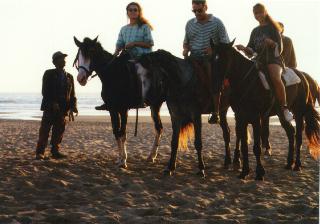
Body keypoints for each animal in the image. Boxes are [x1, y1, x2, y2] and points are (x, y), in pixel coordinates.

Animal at [74, 36, 164, 167]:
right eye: (79, 55)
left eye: (91, 52)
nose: (81, 78)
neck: (114, 75)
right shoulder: (112, 109)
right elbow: (117, 132)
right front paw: (120, 158)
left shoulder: (123, 109)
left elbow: (122, 133)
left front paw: (124, 160)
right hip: (154, 105)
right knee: (159, 128)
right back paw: (151, 156)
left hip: (157, 104)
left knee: (160, 128)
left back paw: (153, 156)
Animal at [211, 39, 318, 180]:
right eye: (212, 59)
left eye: (224, 59)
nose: (215, 86)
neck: (245, 81)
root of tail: (304, 77)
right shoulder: (240, 117)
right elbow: (244, 145)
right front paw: (244, 172)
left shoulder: (256, 118)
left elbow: (256, 147)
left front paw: (259, 173)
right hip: (281, 115)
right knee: (291, 133)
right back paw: (289, 163)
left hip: (299, 113)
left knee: (298, 137)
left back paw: (297, 165)